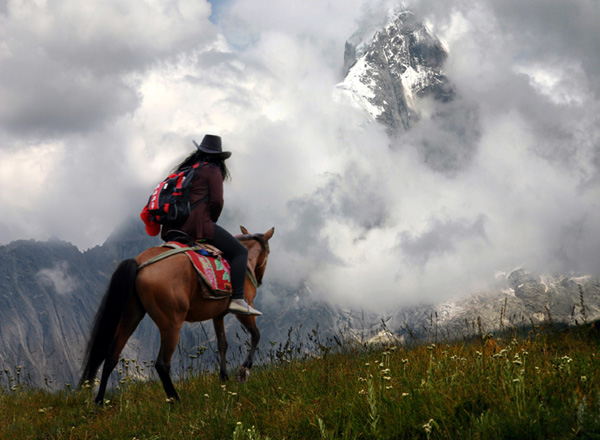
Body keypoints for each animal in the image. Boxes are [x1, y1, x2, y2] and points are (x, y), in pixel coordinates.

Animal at [78, 225, 274, 404]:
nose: (260, 280)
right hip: (171, 324)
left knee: (111, 354)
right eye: (269, 252)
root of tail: (139, 262)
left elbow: (222, 344)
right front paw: (243, 371)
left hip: (131, 316)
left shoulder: (217, 315)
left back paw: (100, 401)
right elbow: (256, 335)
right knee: (162, 363)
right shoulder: (244, 310)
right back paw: (176, 400)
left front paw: (224, 379)